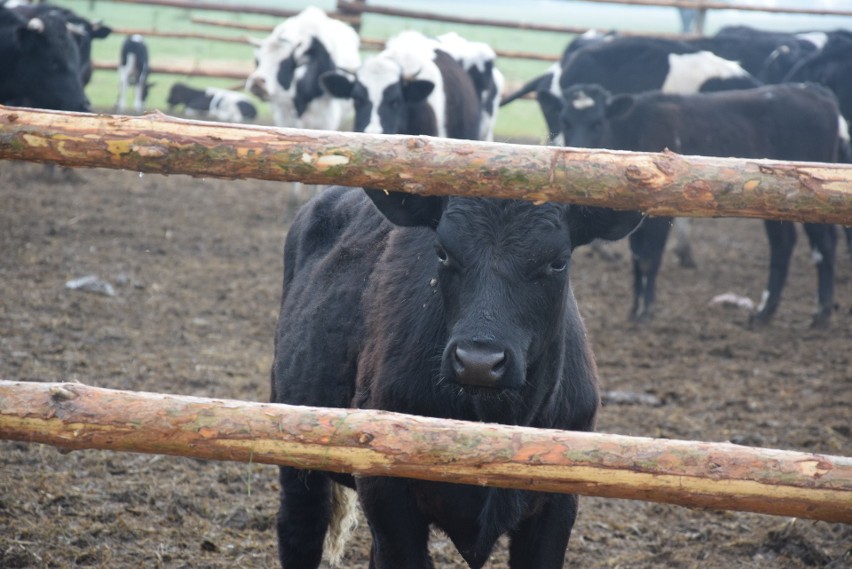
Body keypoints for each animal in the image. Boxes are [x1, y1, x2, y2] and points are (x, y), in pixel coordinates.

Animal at [272, 181, 640, 564]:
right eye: (443, 253)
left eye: (558, 262)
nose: (479, 361)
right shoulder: (386, 496)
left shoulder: (557, 506)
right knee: (299, 529)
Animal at [560, 82, 844, 326]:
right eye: (566, 121)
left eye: (598, 122)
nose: (577, 150)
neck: (634, 127)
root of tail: (814, 90)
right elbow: (637, 258)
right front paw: (634, 309)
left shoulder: (658, 213)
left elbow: (649, 259)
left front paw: (645, 312)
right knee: (783, 243)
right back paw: (764, 312)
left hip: (813, 198)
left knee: (824, 244)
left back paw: (821, 313)